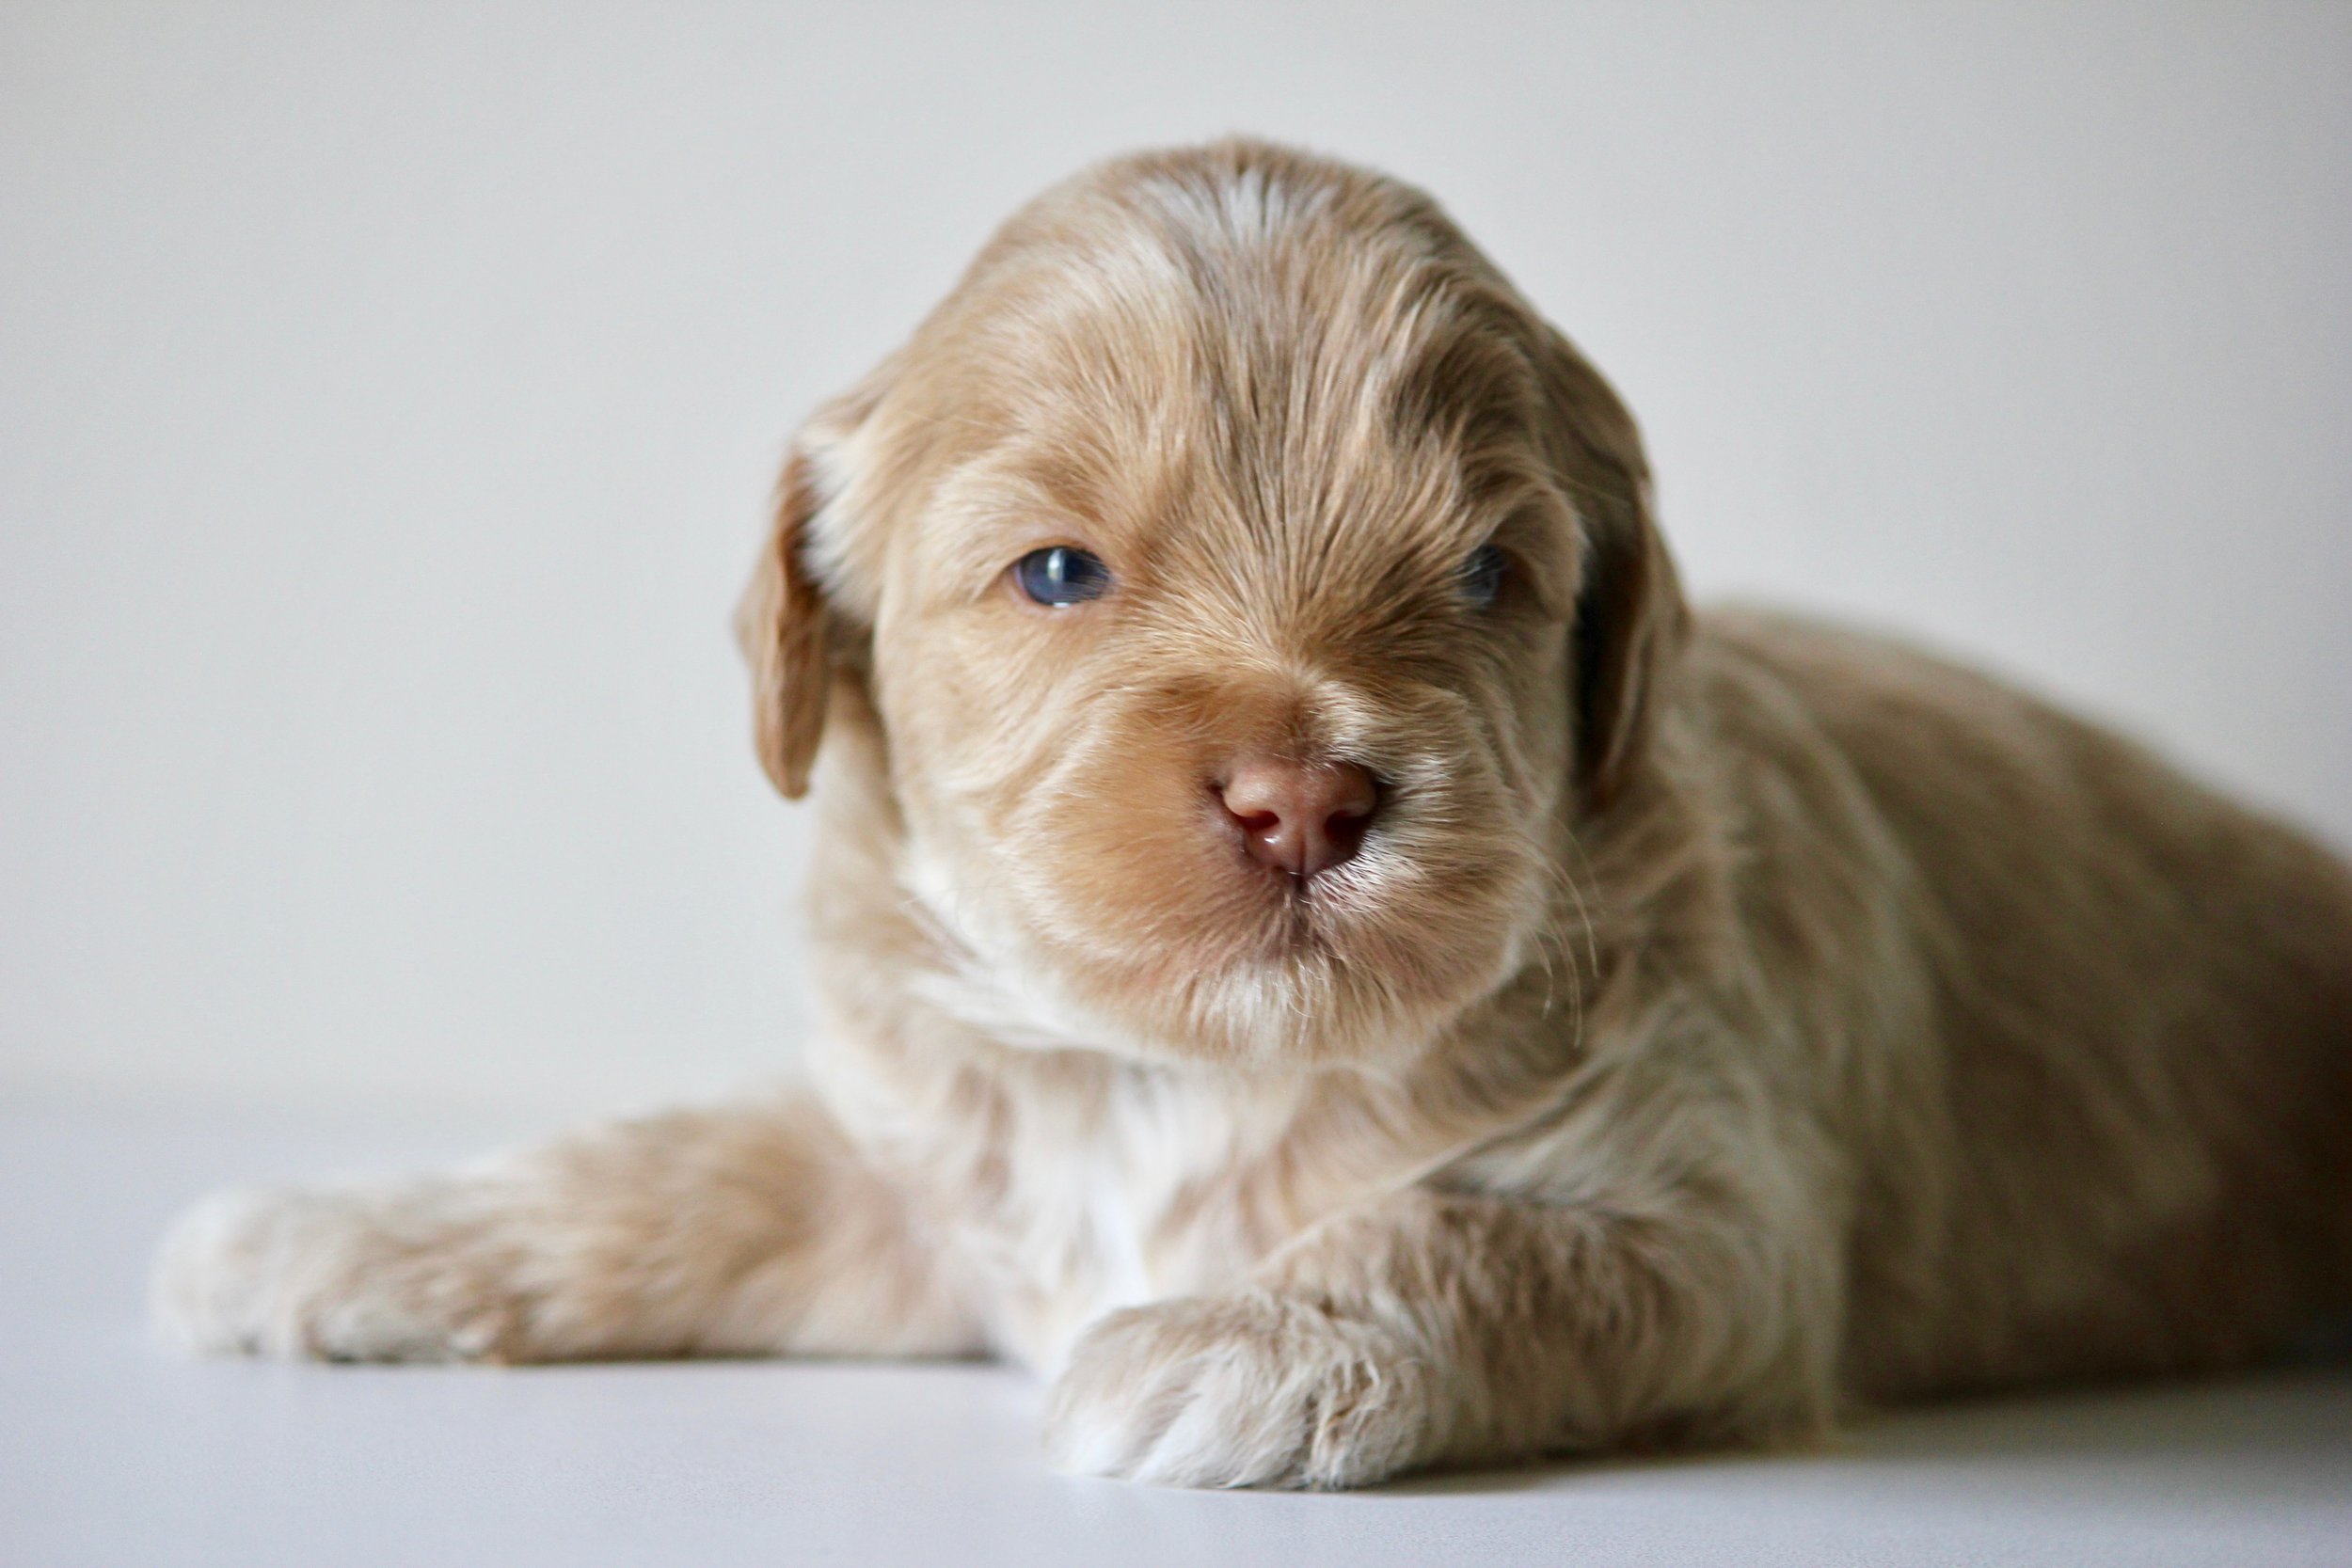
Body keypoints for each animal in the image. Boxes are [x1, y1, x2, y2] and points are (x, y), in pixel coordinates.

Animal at [151, 140, 2352, 1495]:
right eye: (1057, 573)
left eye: (1485, 576)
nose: (1307, 795)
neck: (1169, 1074)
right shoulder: (917, 1176)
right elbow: (661, 1170)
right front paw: (337, 1228)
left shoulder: (1708, 1209)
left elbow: (1460, 1231)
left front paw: (1231, 1335)